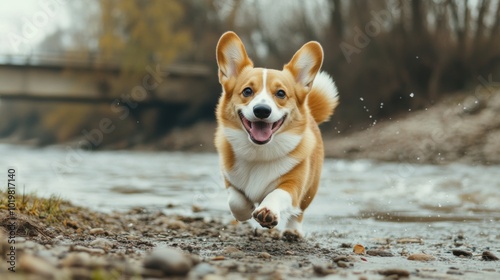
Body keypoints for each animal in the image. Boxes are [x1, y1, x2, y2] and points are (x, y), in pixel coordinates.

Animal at [213, 31, 338, 236]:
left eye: (280, 93)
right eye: (247, 91)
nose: (262, 110)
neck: (259, 152)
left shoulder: (293, 184)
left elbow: (277, 194)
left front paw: (267, 211)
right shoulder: (229, 180)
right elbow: (235, 200)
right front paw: (245, 210)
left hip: (310, 189)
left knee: (299, 211)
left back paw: (293, 231)